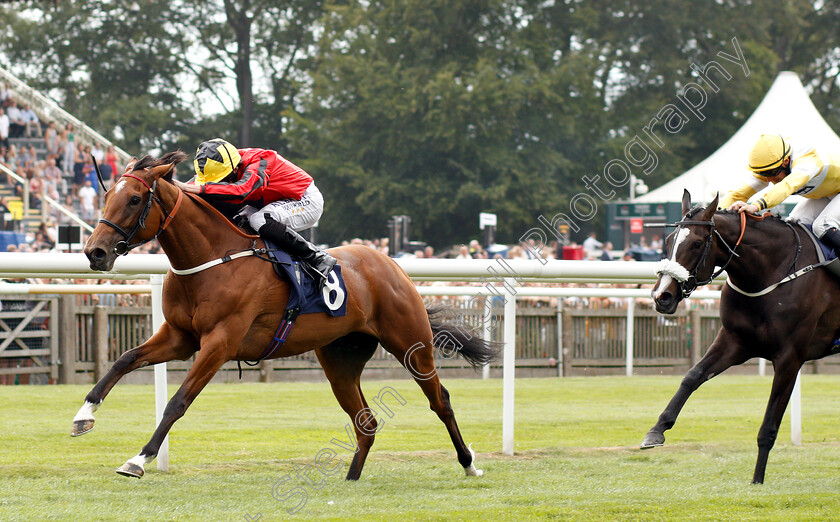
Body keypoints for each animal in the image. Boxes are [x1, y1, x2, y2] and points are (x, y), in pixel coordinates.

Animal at [72, 150, 496, 480]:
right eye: (107, 195)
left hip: (411, 343)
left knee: (440, 400)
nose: (94, 252)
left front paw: (139, 459)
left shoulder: (220, 342)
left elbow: (177, 401)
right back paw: (351, 478)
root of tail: (391, 264)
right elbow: (124, 360)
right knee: (366, 422)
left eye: (134, 199)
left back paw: (470, 464)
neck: (212, 257)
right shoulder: (180, 337)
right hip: (340, 361)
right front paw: (83, 415)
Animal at [644, 190, 840, 484]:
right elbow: (692, 376)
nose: (661, 296)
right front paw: (657, 430)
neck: (772, 272)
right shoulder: (734, 342)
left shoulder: (790, 358)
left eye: (697, 243)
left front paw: (757, 479)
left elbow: (769, 426)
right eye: (668, 241)